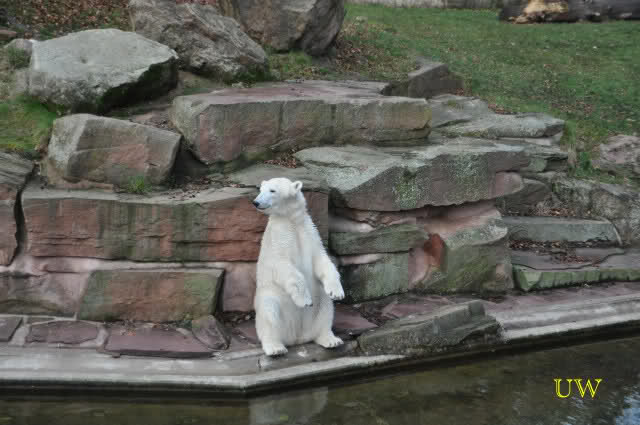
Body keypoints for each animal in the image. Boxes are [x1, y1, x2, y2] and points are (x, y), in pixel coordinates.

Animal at [252, 177, 345, 356]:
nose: (256, 202)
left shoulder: (309, 233)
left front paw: (337, 292)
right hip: (271, 297)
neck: (291, 219)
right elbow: (283, 265)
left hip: (318, 307)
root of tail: (297, 337)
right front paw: (305, 301)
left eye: (272, 190)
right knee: (269, 311)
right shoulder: (278, 236)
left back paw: (331, 339)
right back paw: (275, 347)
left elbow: (321, 259)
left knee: (326, 307)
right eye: (261, 190)